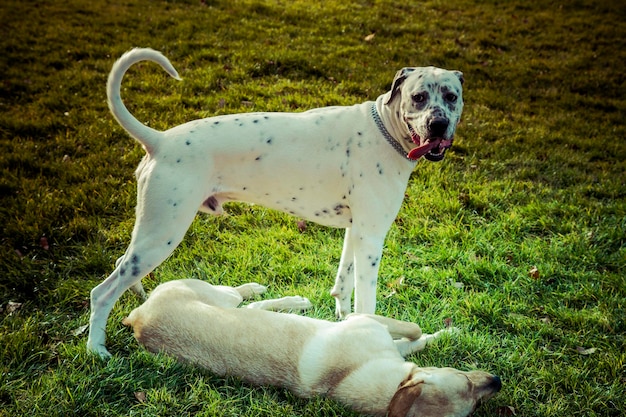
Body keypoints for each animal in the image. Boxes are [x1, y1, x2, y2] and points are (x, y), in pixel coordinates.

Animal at [90, 47, 466, 356]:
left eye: (451, 96)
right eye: (418, 97)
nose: (438, 124)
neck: (384, 128)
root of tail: (160, 140)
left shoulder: (356, 233)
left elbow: (343, 285)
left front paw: (344, 319)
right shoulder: (372, 238)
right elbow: (367, 301)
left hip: (151, 234)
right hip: (162, 234)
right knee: (102, 292)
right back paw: (97, 349)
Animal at [124, 280, 500, 416]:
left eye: (475, 406)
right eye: (464, 380)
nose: (497, 381)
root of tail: (136, 318)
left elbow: (418, 338)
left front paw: (447, 334)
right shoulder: (364, 319)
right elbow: (415, 328)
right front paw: (445, 332)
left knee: (250, 307)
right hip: (218, 294)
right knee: (244, 298)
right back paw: (282, 296)